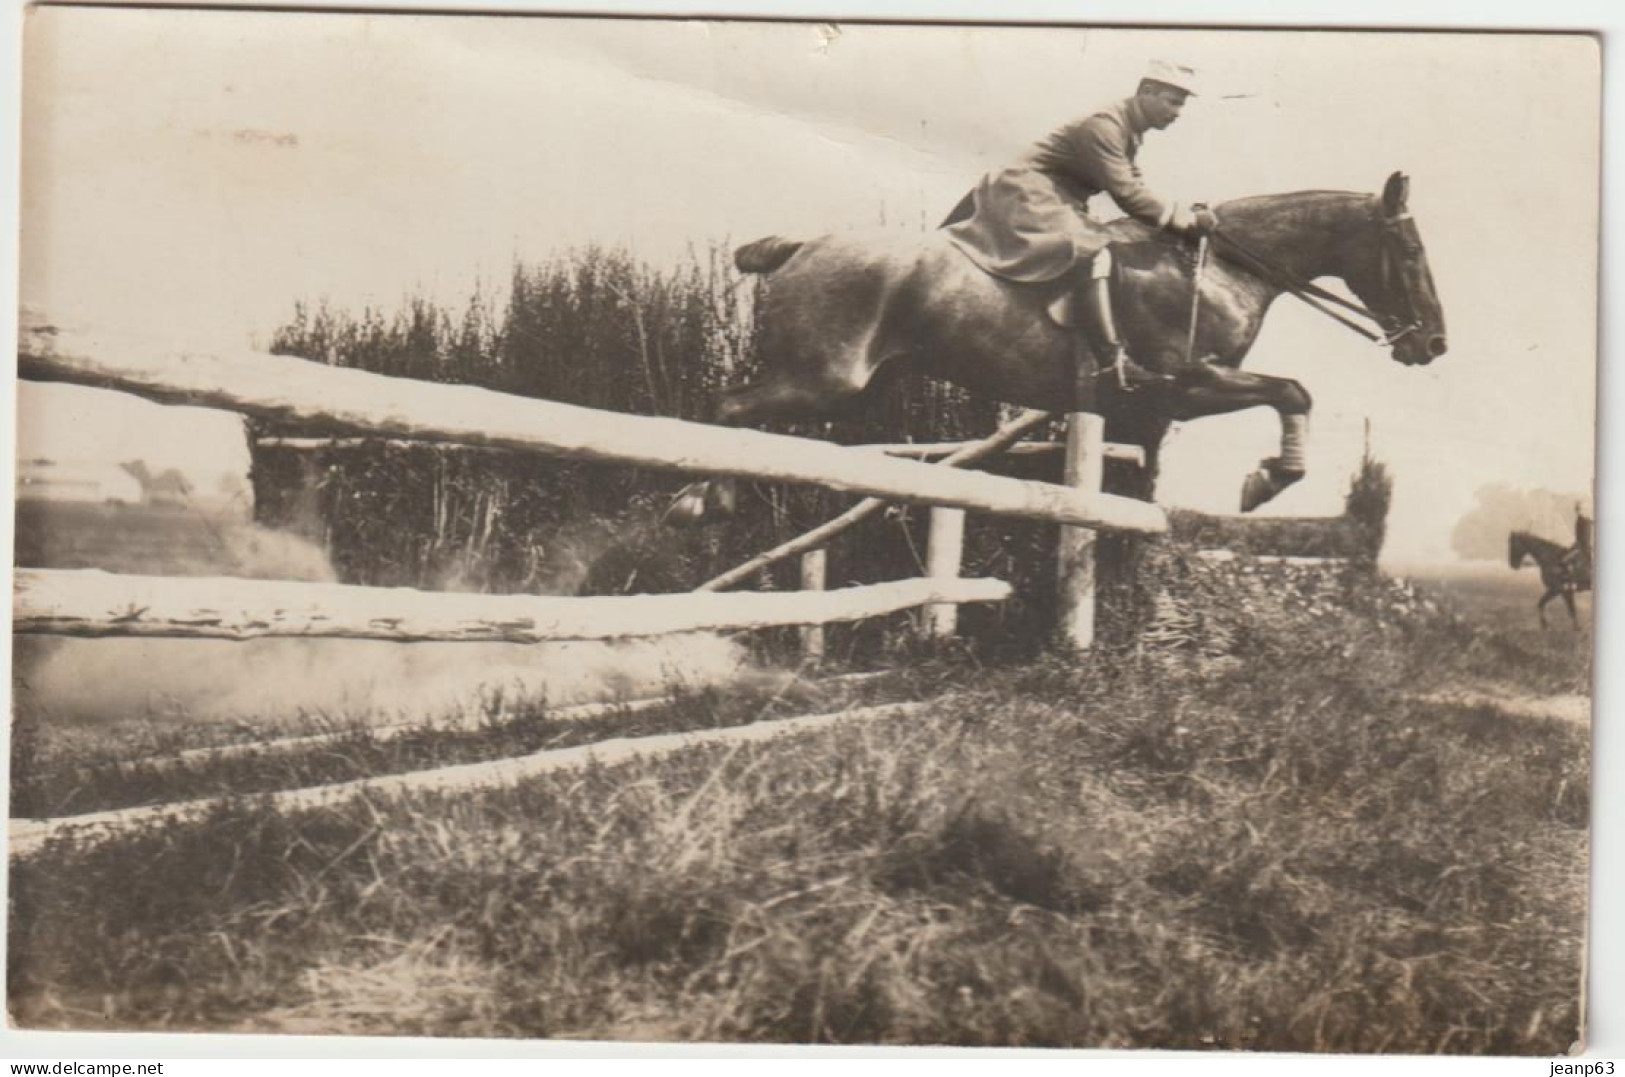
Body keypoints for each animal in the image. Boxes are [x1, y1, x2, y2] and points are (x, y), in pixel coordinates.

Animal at [672, 170, 1449, 523]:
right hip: (823, 376)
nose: (1435, 344)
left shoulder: (1155, 410)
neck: (1222, 268)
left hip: (861, 386)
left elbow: (1143, 476)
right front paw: (1266, 482)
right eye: (1410, 252)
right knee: (731, 405)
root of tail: (802, 245)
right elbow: (1292, 390)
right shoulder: (1188, 385)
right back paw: (702, 498)